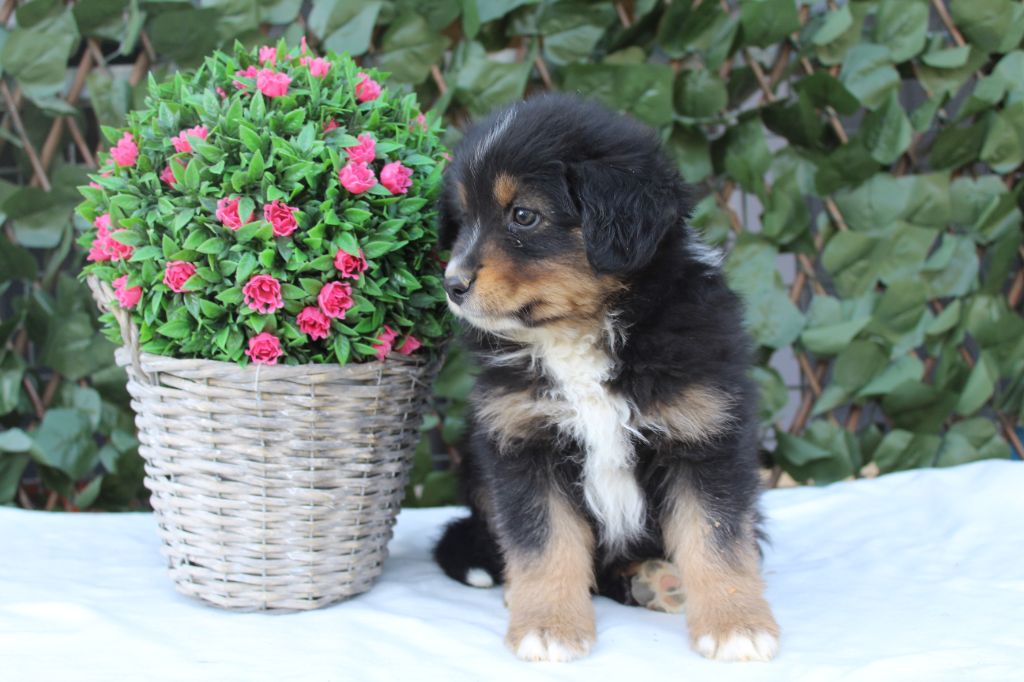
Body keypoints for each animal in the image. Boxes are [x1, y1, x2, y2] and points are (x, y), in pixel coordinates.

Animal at [432, 93, 779, 663]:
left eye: (523, 215)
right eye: (462, 221)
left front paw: (736, 625)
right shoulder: (523, 441)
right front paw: (548, 625)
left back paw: (657, 581)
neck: (578, 333)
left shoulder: (704, 434)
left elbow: (717, 537)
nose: (452, 285)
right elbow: (543, 543)